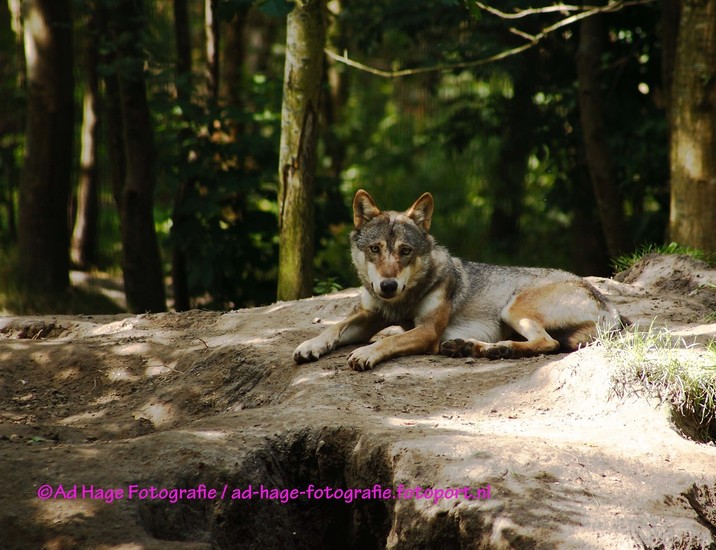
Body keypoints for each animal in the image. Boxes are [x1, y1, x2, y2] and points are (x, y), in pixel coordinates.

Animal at [294, 190, 625, 371]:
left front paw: (365, 353)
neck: (402, 301)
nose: (388, 286)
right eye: (375, 249)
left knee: (548, 343)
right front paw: (309, 345)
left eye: (405, 251)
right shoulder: (368, 316)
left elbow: (392, 339)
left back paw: (495, 350)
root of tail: (610, 306)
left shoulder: (427, 331)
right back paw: (470, 348)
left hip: (513, 309)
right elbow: (334, 327)